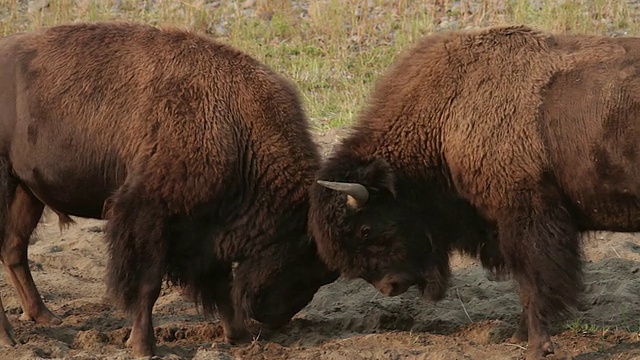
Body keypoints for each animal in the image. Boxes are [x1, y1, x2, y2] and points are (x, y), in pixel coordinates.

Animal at [0, 22, 338, 358]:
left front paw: (238, 336)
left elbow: (220, 282)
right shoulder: (148, 216)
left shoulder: (207, 228)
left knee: (14, 248)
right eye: (307, 261)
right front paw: (143, 346)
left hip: (26, 191)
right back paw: (10, 338)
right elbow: (149, 285)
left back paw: (44, 316)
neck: (236, 127)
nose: (274, 319)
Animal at [308, 23, 640, 358]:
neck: (448, 116)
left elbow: (533, 283)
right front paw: (518, 336)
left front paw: (537, 345)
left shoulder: (527, 220)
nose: (391, 286)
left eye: (364, 229)